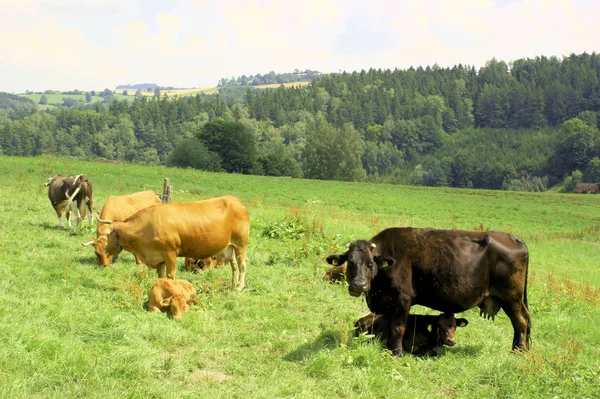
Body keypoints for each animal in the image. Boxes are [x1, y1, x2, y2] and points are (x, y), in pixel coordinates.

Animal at [98, 195, 248, 290]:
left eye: (108, 235)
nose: (105, 249)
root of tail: (234, 199)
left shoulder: (170, 252)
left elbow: (170, 275)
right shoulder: (158, 257)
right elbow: (160, 275)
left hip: (241, 244)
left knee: (242, 264)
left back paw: (240, 286)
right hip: (230, 247)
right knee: (234, 265)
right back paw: (233, 285)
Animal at [328, 228, 528, 356]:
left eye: (371, 264)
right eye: (350, 263)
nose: (359, 285)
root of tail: (515, 238)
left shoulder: (402, 299)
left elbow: (398, 328)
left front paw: (397, 353)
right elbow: (388, 327)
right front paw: (388, 347)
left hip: (512, 299)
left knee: (521, 323)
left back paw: (519, 351)